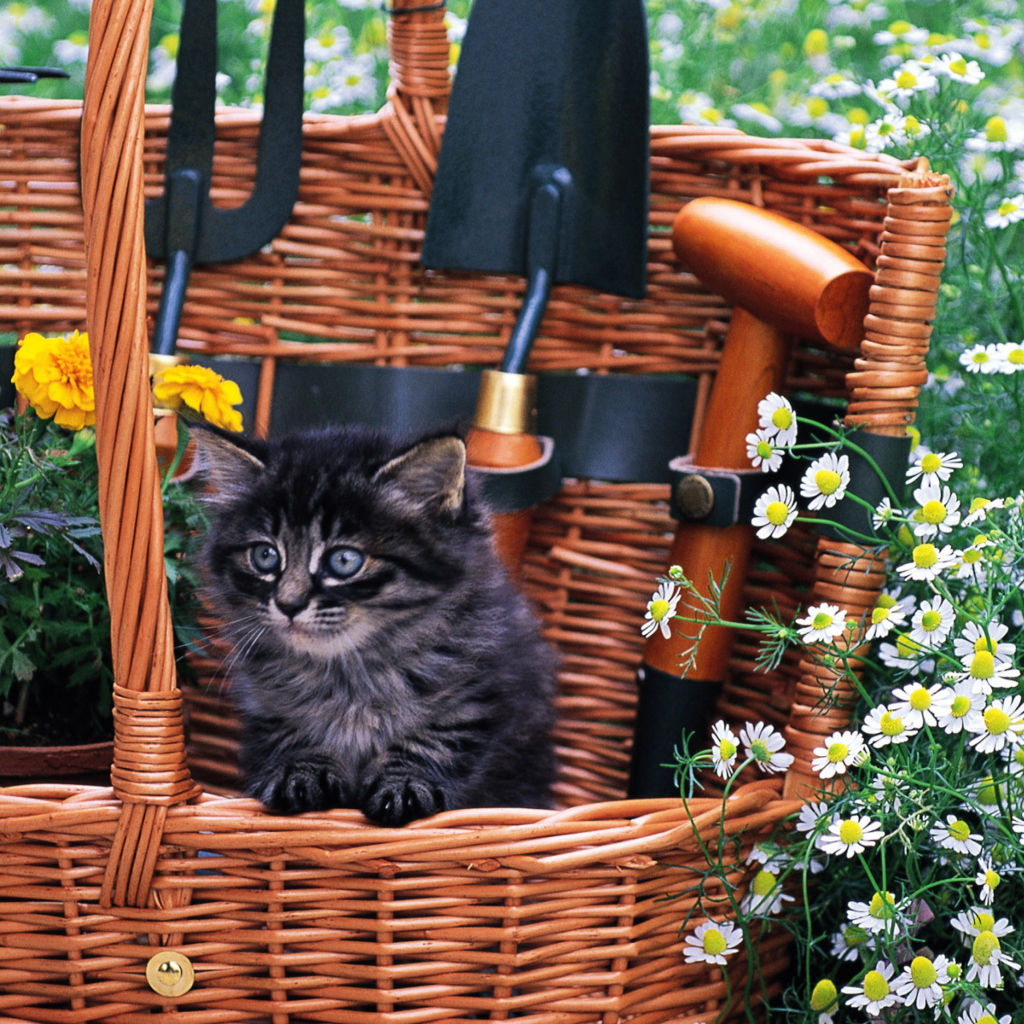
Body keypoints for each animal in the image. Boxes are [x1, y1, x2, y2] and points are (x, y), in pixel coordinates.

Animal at [192, 419, 561, 827]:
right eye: (265, 556)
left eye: (344, 561)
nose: (288, 604)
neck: (349, 671)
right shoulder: (267, 703)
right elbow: (294, 734)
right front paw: (300, 773)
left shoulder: (478, 690)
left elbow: (433, 738)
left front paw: (405, 785)